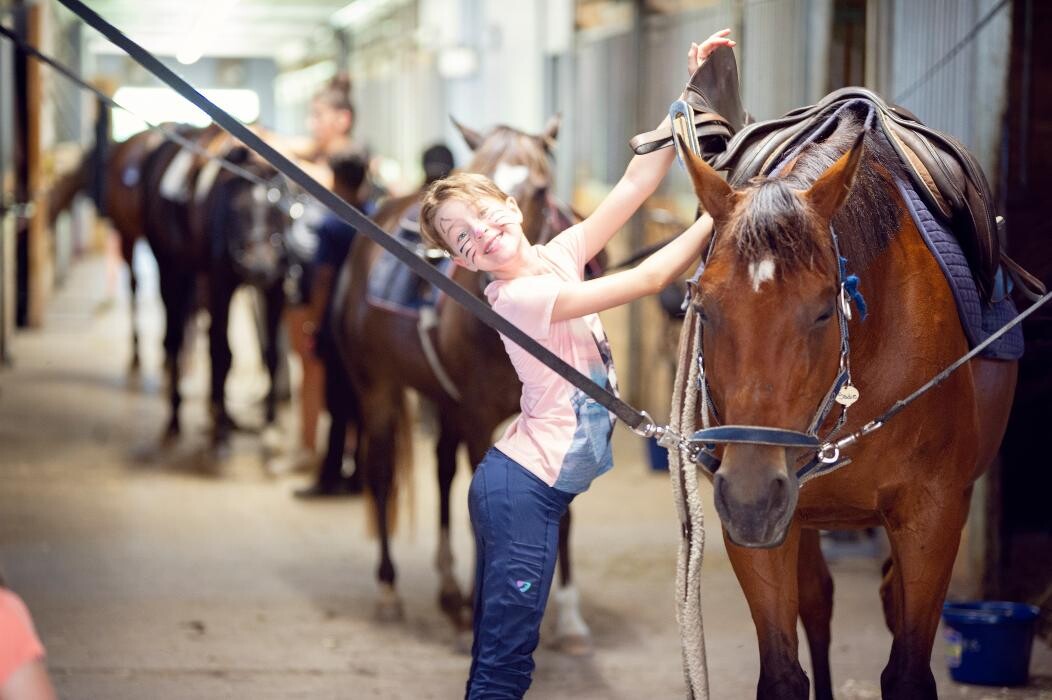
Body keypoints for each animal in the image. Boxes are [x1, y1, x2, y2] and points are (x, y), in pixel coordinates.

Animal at [336, 115, 601, 656]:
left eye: (539, 186)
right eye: (472, 173)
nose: (487, 273)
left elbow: (562, 512)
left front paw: (569, 619)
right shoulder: (480, 419)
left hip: (444, 400)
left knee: (440, 470)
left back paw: (448, 589)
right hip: (377, 387)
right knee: (381, 473)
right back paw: (390, 590)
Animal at [673, 105, 1018, 698]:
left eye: (821, 311)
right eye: (704, 306)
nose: (750, 497)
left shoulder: (932, 512)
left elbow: (908, 670)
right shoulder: (763, 527)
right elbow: (784, 672)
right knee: (819, 601)